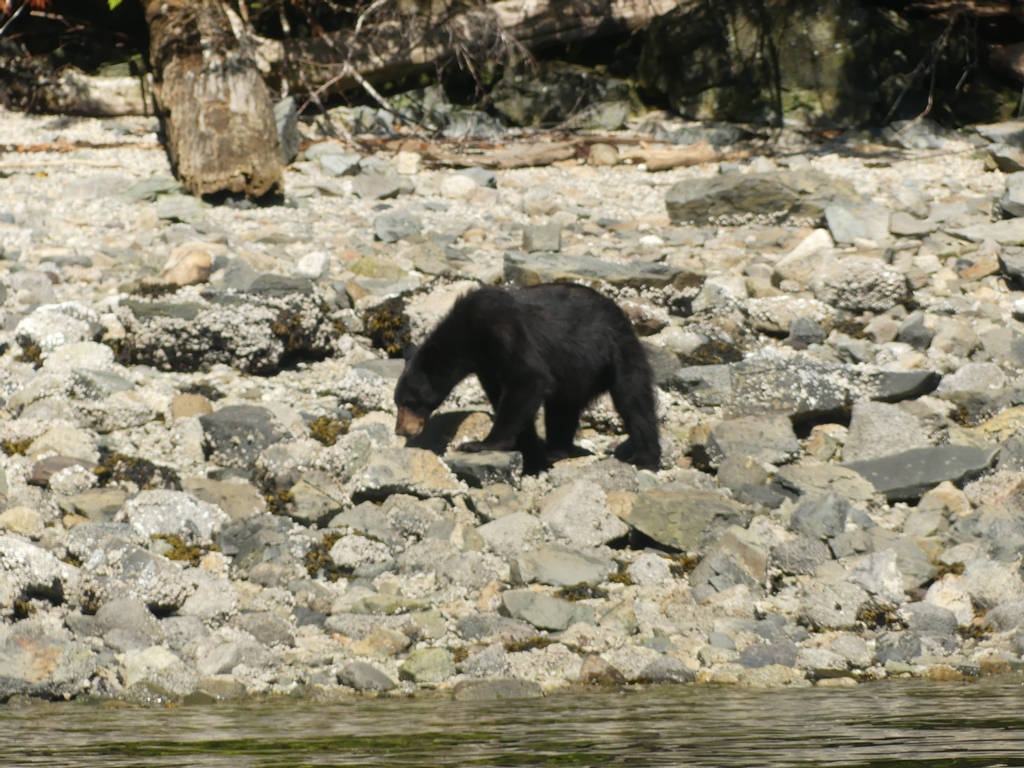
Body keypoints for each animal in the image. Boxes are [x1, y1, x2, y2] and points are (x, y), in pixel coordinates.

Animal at [393, 283, 660, 471]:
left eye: (410, 402)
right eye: (397, 402)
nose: (401, 431)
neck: (470, 337)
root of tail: (622, 316)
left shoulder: (504, 331)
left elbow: (529, 379)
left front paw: (480, 443)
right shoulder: (486, 365)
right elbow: (504, 395)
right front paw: (526, 446)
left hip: (618, 353)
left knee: (634, 401)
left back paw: (643, 458)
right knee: (561, 410)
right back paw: (556, 451)